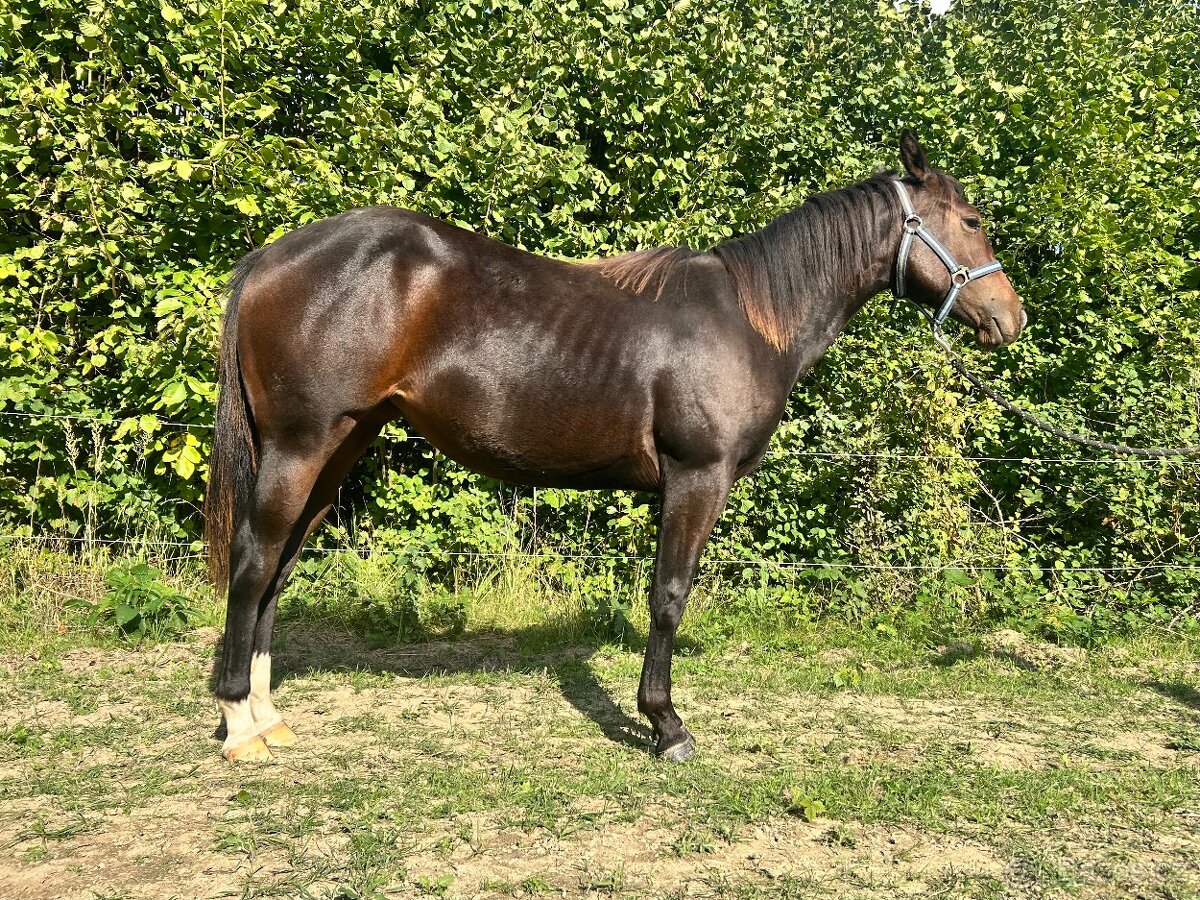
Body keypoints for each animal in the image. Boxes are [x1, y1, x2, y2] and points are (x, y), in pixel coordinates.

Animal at [205, 130, 1026, 762]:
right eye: (972, 219)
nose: (1009, 318)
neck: (750, 319)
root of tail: (269, 259)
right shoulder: (697, 479)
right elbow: (669, 596)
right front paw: (666, 725)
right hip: (300, 446)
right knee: (253, 560)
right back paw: (240, 723)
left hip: (341, 446)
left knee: (281, 565)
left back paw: (269, 717)